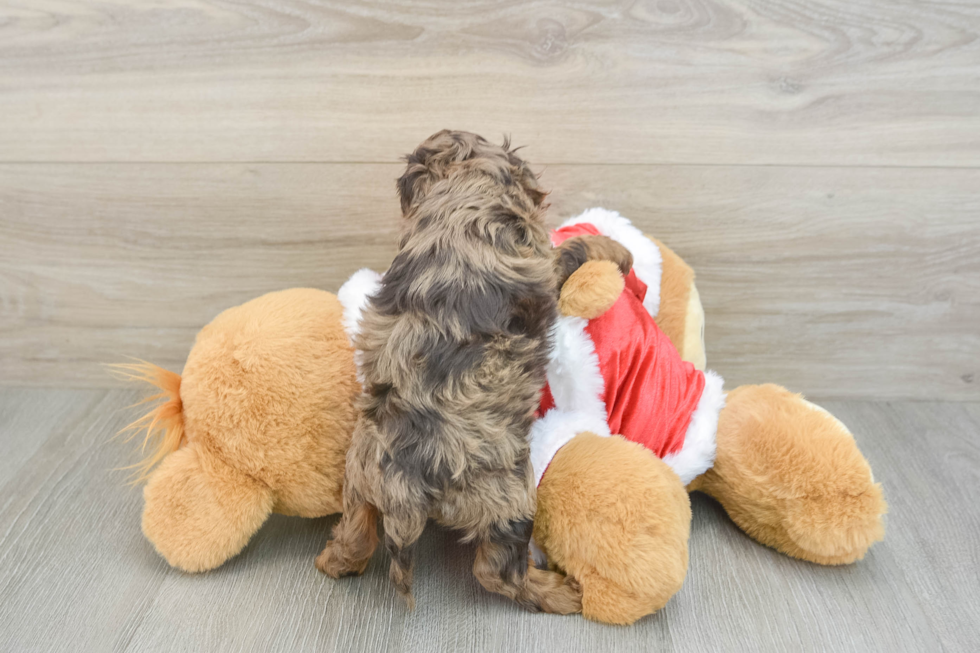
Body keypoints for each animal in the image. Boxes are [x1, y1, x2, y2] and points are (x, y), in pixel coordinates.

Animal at [318, 131, 632, 612]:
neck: (464, 183)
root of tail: (404, 484)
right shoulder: (541, 258)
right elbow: (573, 248)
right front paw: (616, 249)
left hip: (359, 473)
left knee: (355, 533)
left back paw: (332, 561)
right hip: (509, 495)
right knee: (496, 573)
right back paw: (560, 592)